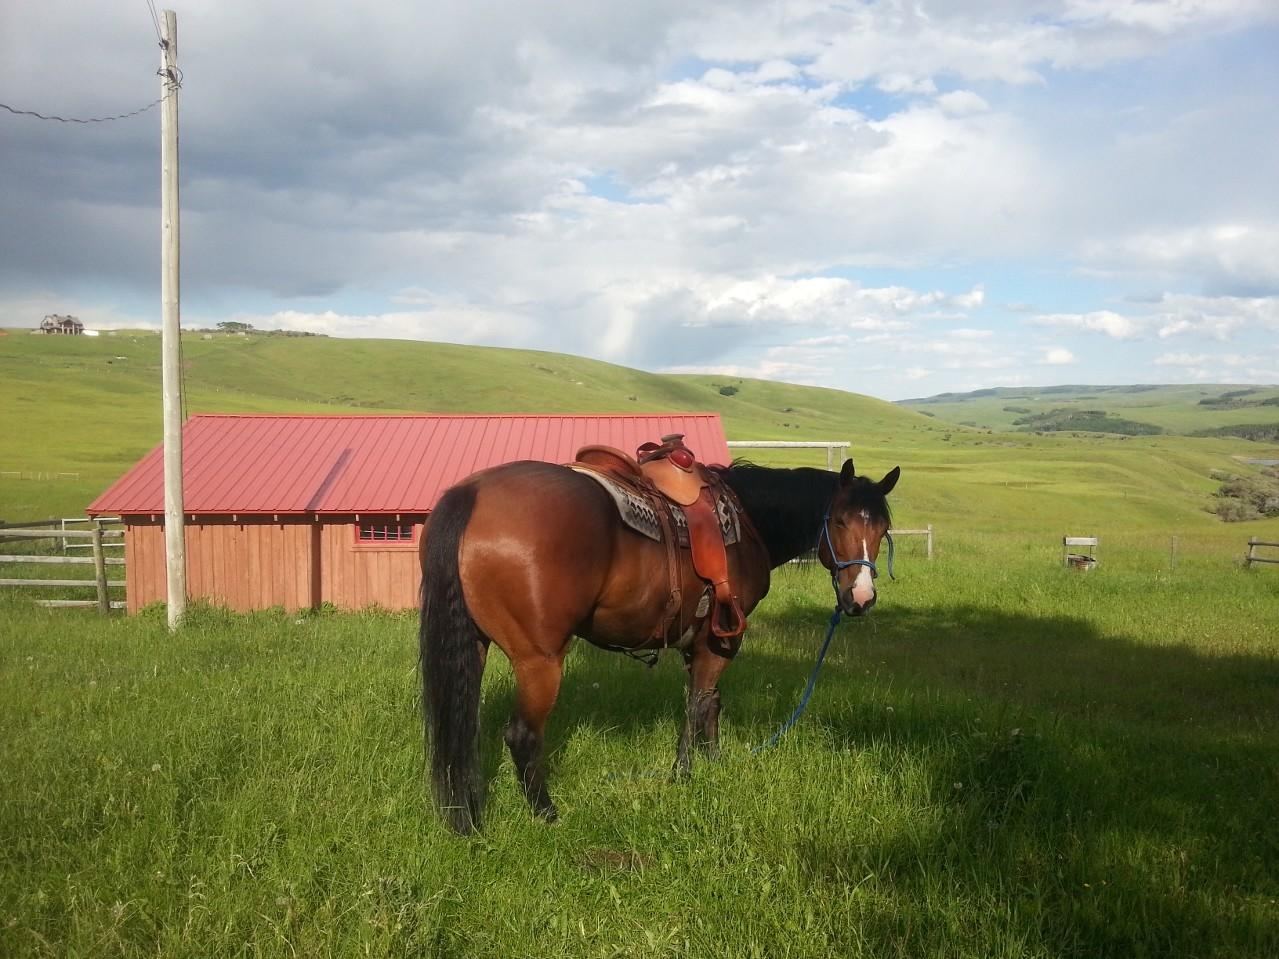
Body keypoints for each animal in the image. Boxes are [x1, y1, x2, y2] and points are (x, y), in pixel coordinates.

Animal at [418, 455, 900, 833]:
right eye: (839, 520)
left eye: (883, 529)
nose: (861, 598)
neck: (748, 521)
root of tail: (473, 493)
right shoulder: (722, 639)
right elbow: (699, 703)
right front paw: (685, 774)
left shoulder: (699, 641)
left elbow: (709, 703)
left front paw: (712, 762)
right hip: (540, 660)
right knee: (522, 735)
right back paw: (547, 813)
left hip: (475, 648)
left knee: (462, 726)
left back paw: (467, 814)